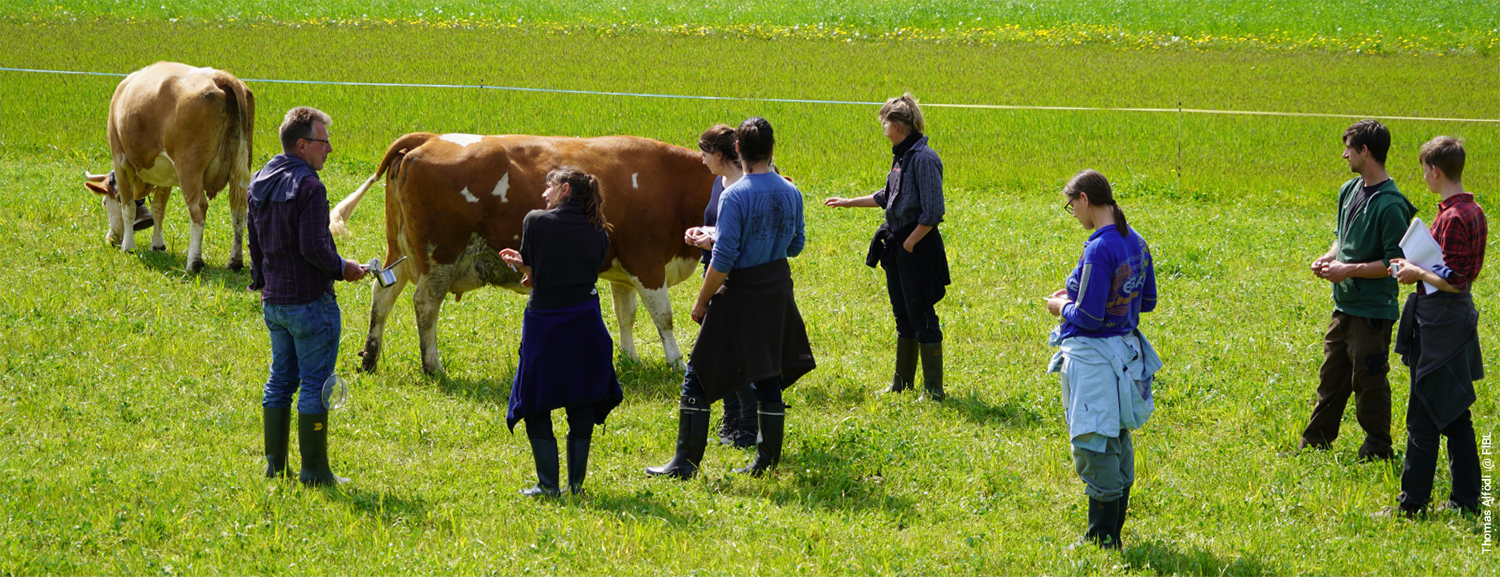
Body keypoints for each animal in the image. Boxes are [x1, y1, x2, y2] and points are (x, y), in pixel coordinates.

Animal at [83, 61, 254, 273]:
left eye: (104, 203)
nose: (111, 239)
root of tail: (219, 76)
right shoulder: (165, 175)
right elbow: (158, 209)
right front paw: (158, 245)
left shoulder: (120, 160)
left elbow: (128, 207)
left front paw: (128, 247)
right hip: (241, 167)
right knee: (238, 209)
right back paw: (234, 261)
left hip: (189, 169)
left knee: (198, 207)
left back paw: (194, 262)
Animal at [328, 132, 713, 375]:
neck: (672, 180)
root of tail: (427, 137)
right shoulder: (645, 261)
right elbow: (663, 317)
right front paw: (676, 362)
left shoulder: (623, 269)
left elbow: (626, 315)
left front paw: (630, 358)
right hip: (440, 255)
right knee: (425, 303)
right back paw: (432, 366)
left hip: (402, 252)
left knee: (383, 293)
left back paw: (370, 357)